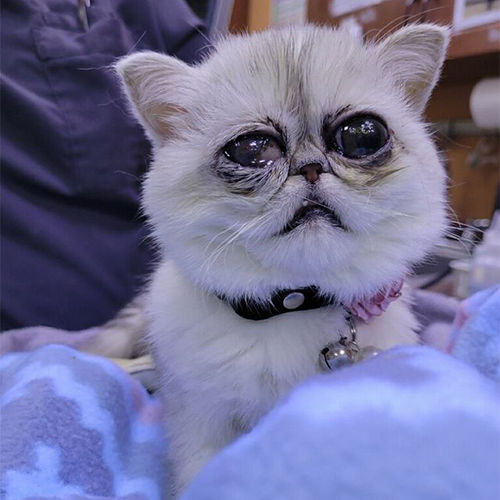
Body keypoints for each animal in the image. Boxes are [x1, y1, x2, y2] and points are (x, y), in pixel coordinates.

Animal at [116, 22, 450, 496]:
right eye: (252, 149)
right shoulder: (198, 427)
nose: (310, 167)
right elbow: (202, 475)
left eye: (364, 135)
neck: (293, 305)